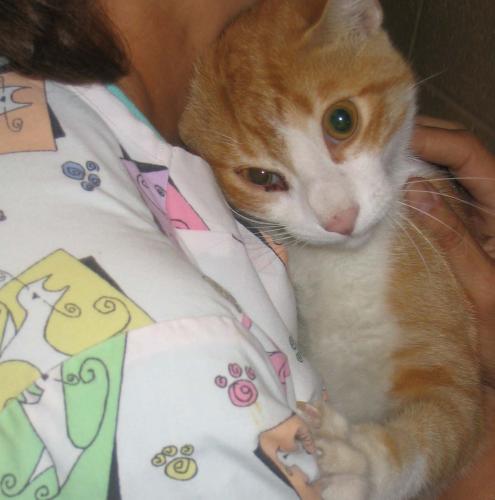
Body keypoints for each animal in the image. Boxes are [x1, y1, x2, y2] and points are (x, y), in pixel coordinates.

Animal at [178, 0, 483, 498]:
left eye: (341, 120)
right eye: (261, 177)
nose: (339, 218)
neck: (346, 267)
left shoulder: (456, 372)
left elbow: (443, 424)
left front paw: (366, 463)